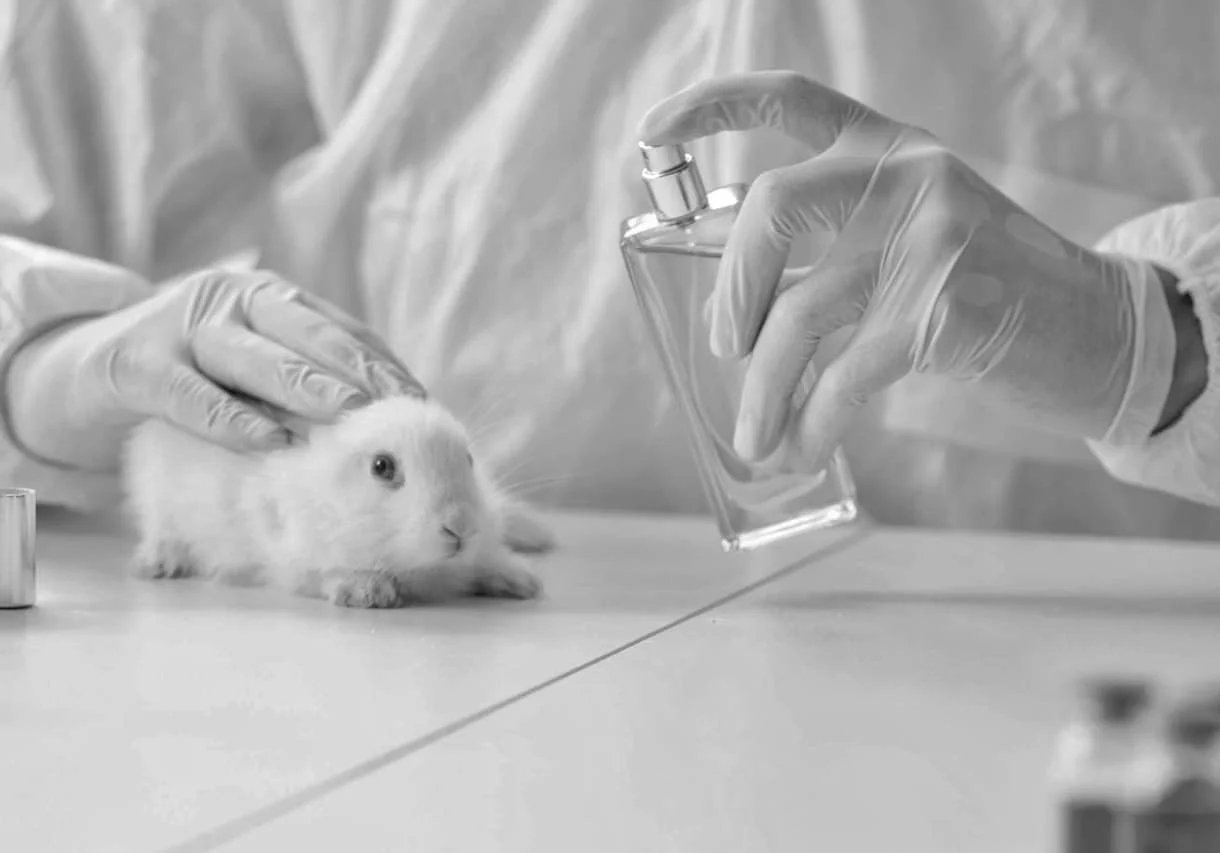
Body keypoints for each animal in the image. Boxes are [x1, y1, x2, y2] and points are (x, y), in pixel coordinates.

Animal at [121, 394, 556, 608]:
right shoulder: (289, 550)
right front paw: (368, 592)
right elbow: (324, 572)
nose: (460, 527)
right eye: (382, 467)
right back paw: (159, 562)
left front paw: (519, 580)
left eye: (467, 459)